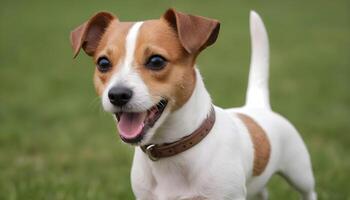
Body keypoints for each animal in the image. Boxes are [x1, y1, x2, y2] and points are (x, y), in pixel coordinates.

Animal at [70, 8, 318, 199]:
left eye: (156, 61)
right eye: (103, 63)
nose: (118, 94)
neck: (174, 149)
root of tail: (257, 106)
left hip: (300, 173)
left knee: (308, 191)